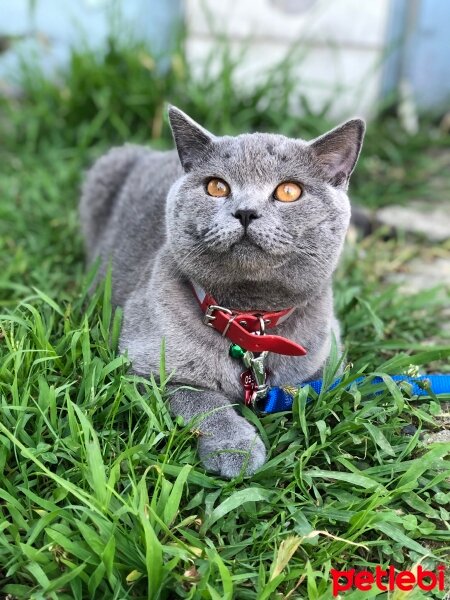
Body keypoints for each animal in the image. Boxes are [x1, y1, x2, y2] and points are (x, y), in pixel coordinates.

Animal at [79, 106, 364, 478]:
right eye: (216, 186)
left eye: (289, 191)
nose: (245, 211)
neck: (249, 322)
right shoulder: (143, 365)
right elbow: (201, 400)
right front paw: (236, 450)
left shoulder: (328, 361)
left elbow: (313, 390)